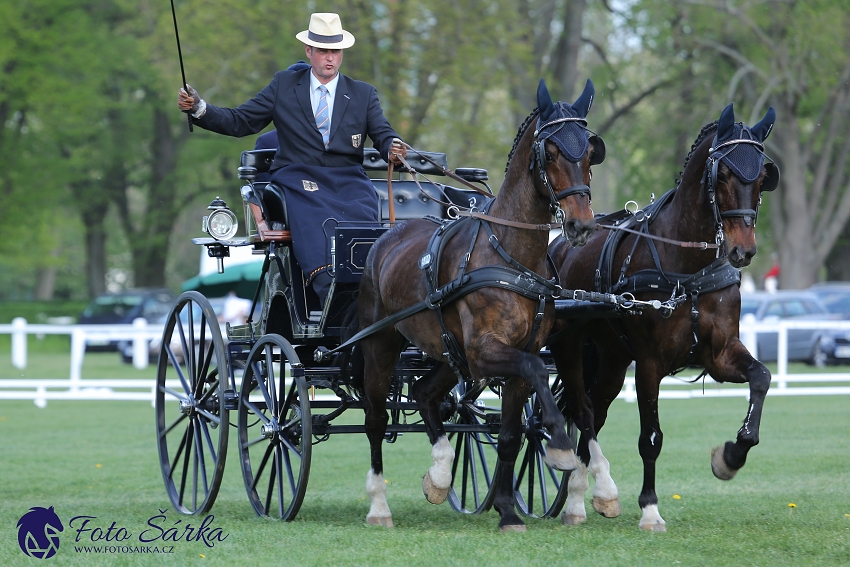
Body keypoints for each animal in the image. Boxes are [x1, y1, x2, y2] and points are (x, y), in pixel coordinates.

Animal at [354, 79, 608, 532]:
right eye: (551, 152)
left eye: (588, 152)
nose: (581, 224)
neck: (509, 256)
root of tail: (388, 235)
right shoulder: (489, 350)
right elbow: (538, 371)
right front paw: (561, 444)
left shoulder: (512, 353)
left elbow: (509, 435)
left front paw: (507, 509)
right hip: (381, 345)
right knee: (375, 419)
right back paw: (379, 505)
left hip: (448, 350)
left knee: (424, 392)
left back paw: (440, 474)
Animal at [548, 104, 780, 536]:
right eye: (723, 173)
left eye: (762, 176)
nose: (743, 250)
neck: (687, 268)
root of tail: (560, 244)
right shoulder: (650, 364)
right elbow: (650, 438)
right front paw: (651, 509)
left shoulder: (720, 354)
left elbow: (761, 377)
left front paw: (731, 456)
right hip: (570, 348)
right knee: (583, 412)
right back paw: (581, 497)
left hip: (612, 358)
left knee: (596, 412)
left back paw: (587, 494)